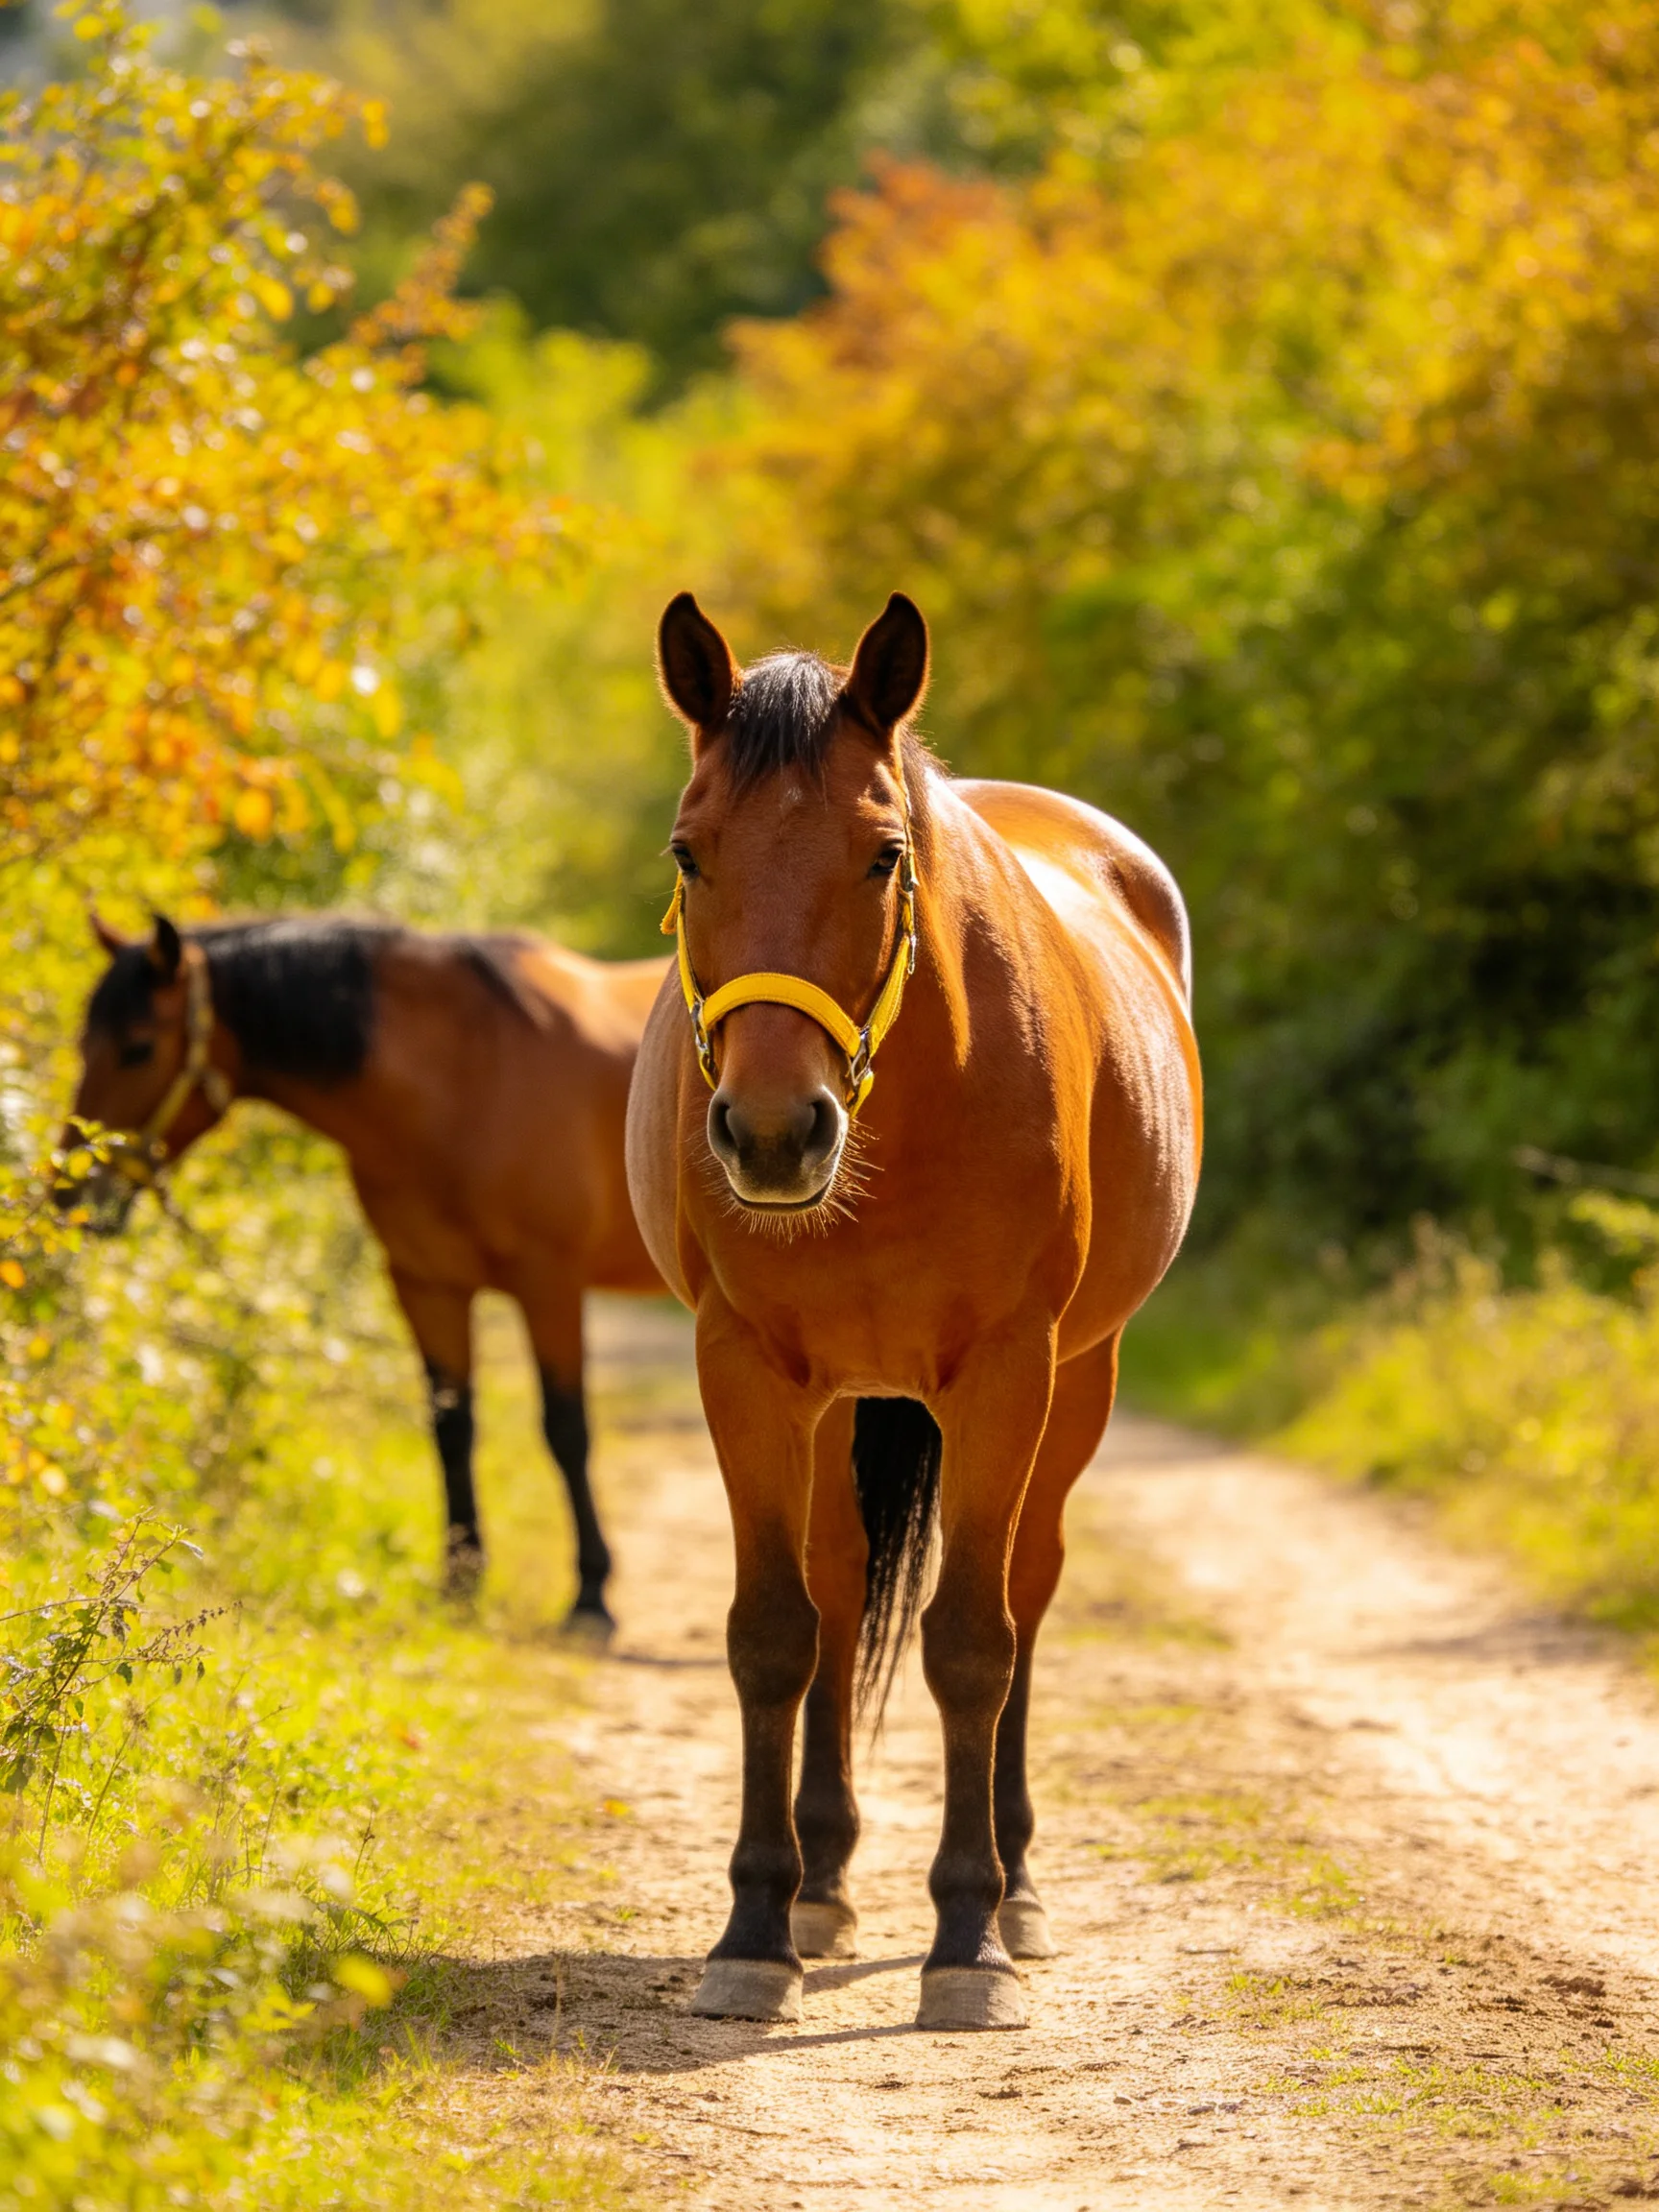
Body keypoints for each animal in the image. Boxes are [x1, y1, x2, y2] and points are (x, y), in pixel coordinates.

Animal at [64, 911, 669, 1626]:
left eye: (137, 1047)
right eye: (85, 1042)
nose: (69, 1195)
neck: (471, 1075)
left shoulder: (550, 1283)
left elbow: (566, 1429)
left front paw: (591, 1594)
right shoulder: (425, 1283)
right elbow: (452, 1427)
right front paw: (459, 1583)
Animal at [625, 591, 1201, 2030]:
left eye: (884, 855)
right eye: (689, 853)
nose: (775, 1134)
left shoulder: (1006, 1376)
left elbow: (973, 1647)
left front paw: (969, 1938)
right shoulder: (746, 1371)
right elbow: (775, 1635)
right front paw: (754, 1927)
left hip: (1080, 1383)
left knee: (1028, 1595)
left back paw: (1021, 1884)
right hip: (838, 1399)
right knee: (839, 1590)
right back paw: (825, 1880)